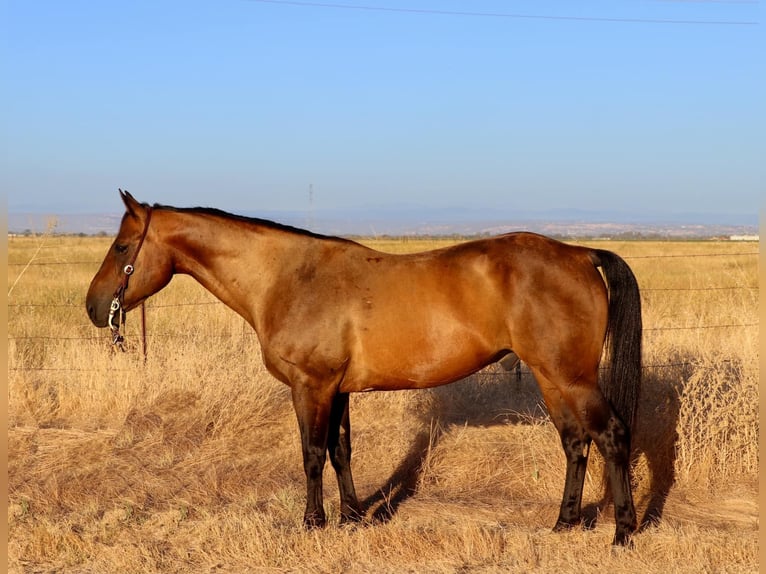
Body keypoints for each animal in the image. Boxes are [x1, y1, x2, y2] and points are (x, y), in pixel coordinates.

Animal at [87, 191, 644, 548]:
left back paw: (623, 532)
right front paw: (353, 518)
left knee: (611, 434)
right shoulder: (338, 389)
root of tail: (580, 253)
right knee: (575, 441)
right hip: (552, 378)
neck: (287, 277)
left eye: (121, 247)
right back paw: (564, 524)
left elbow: (312, 453)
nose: (94, 308)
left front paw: (313, 523)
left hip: (572, 378)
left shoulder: (311, 386)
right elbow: (341, 450)